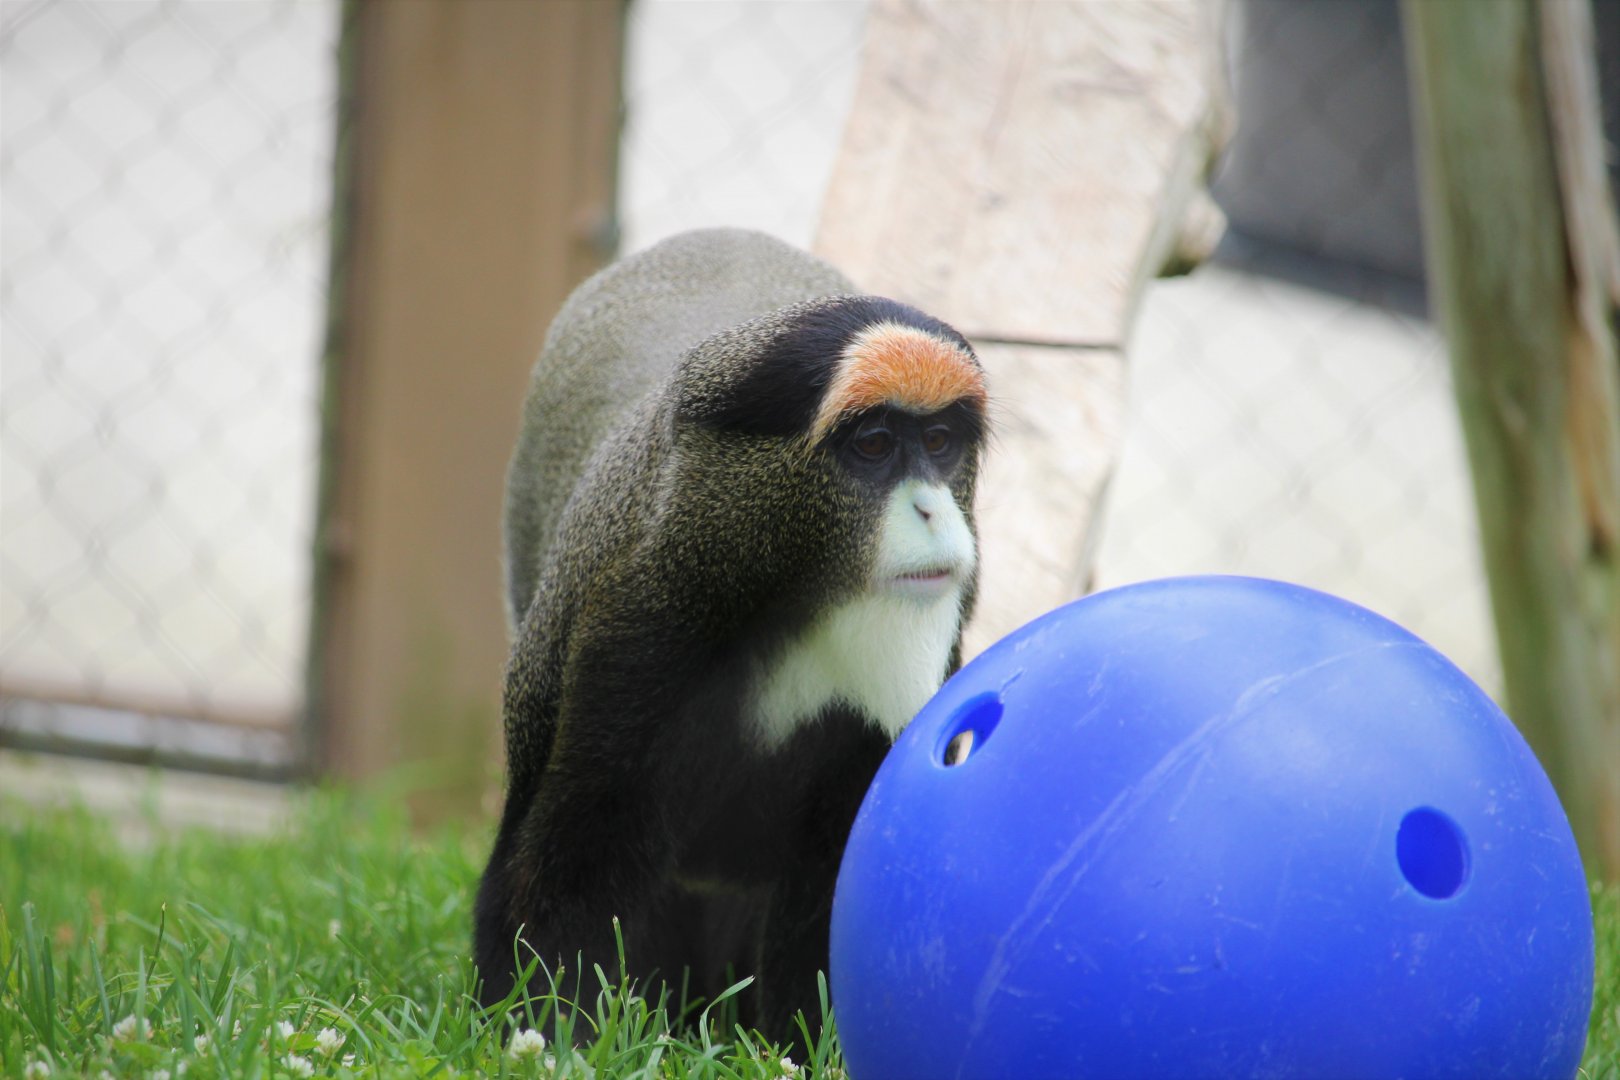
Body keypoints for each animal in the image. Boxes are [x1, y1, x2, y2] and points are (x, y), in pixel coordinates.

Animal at [473, 227, 988, 1041]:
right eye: (874, 446)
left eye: (939, 442)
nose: (935, 510)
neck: (788, 592)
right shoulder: (628, 631)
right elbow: (563, 866)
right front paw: (551, 1038)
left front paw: (805, 1047)